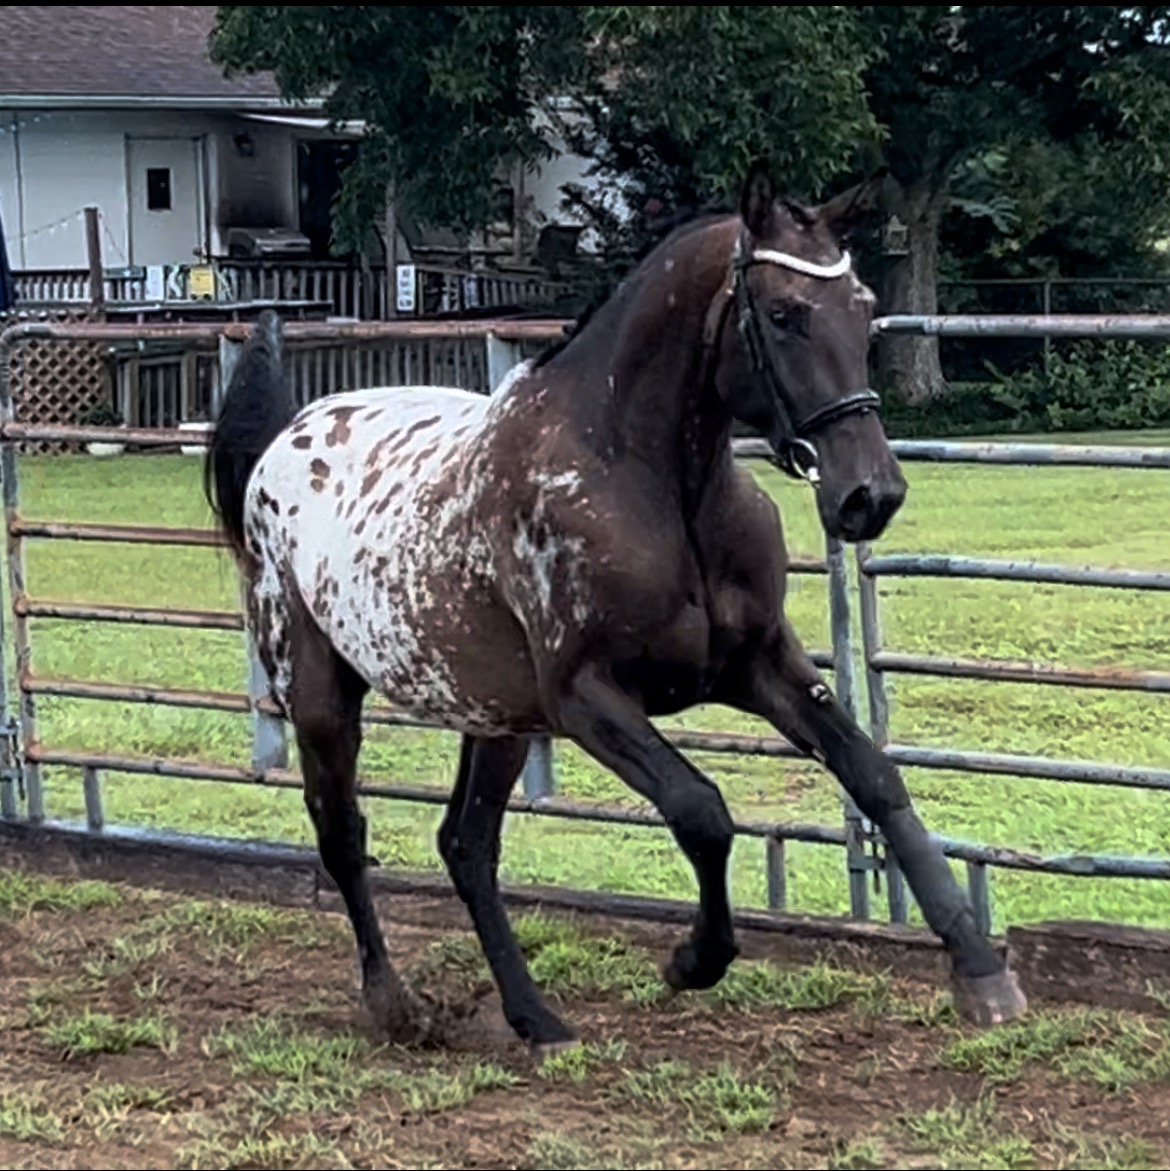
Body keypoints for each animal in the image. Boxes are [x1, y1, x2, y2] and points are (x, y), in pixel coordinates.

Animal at [203, 161, 1027, 1059]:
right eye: (782, 313)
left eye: (864, 306)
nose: (870, 495)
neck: (652, 486)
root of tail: (286, 437)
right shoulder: (588, 698)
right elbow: (703, 812)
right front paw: (694, 958)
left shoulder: (759, 666)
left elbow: (874, 776)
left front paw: (981, 969)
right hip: (322, 694)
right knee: (343, 833)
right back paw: (397, 1005)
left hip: (496, 717)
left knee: (466, 844)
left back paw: (535, 1017)